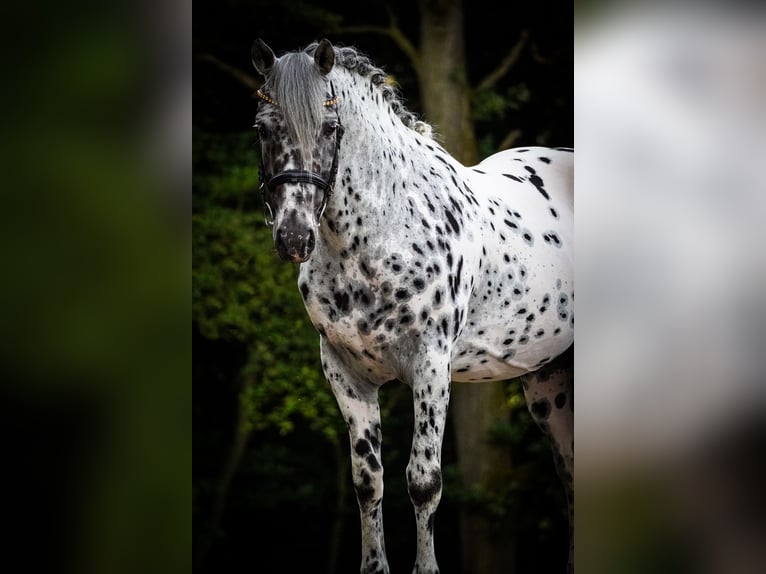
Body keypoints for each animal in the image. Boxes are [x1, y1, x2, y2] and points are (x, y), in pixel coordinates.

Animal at [252, 38, 576, 572]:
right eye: (262, 127)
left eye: (330, 126)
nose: (294, 237)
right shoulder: (345, 374)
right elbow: (368, 483)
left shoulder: (431, 367)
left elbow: (424, 483)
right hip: (549, 381)